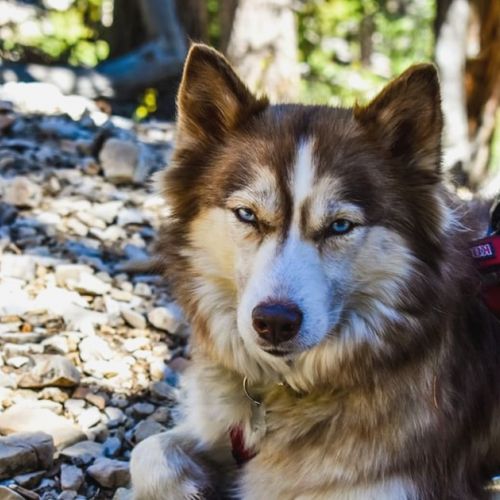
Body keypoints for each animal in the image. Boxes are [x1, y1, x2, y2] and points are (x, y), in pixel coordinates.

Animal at [131, 45, 500, 498]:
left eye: (340, 226)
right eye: (247, 215)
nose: (274, 322)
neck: (283, 388)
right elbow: (147, 450)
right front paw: (187, 482)